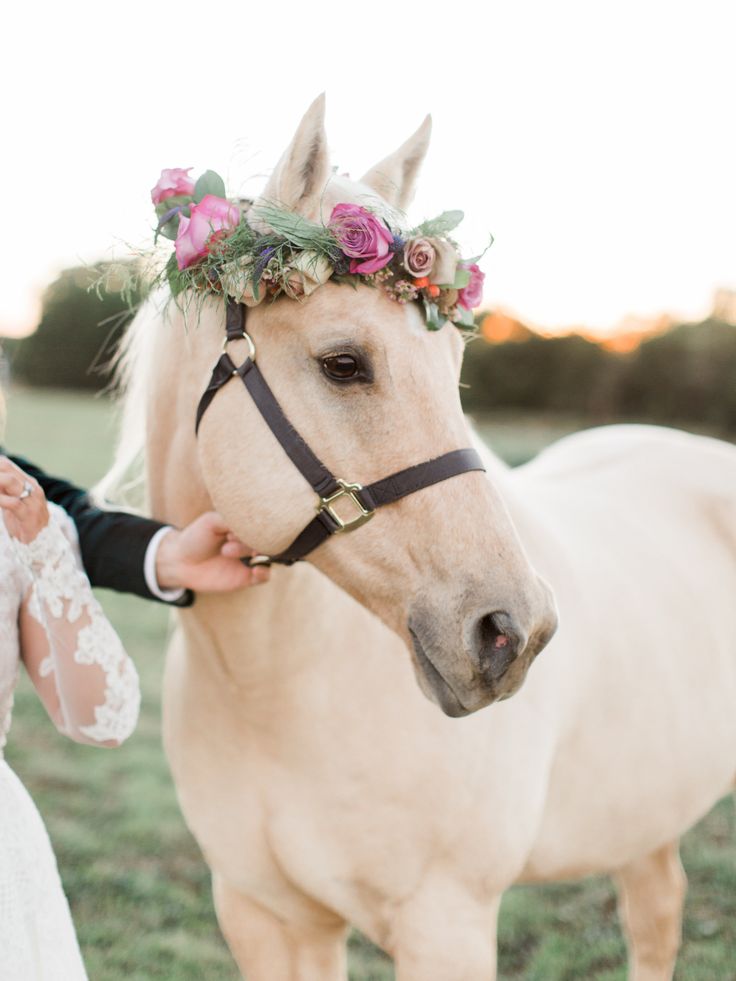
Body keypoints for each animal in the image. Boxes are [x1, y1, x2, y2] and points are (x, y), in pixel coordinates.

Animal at [108, 94, 736, 980]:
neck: (275, 690)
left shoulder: (447, 921)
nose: (514, 632)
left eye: (455, 355)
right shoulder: (263, 915)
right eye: (343, 363)